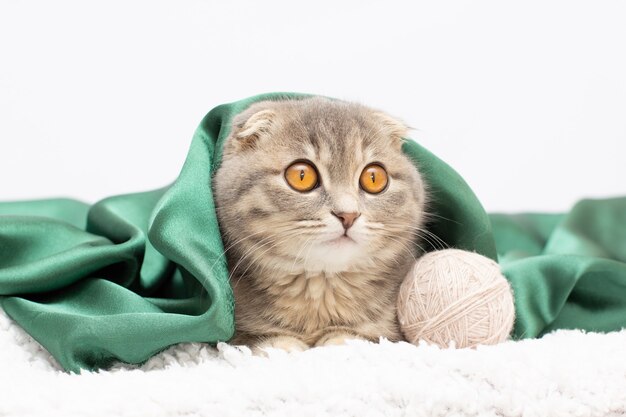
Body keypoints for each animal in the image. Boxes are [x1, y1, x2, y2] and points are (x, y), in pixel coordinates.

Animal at [212, 96, 426, 352]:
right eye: (301, 175)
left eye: (374, 178)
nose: (348, 215)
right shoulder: (234, 335)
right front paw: (284, 348)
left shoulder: (389, 333)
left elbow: (357, 337)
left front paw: (339, 343)